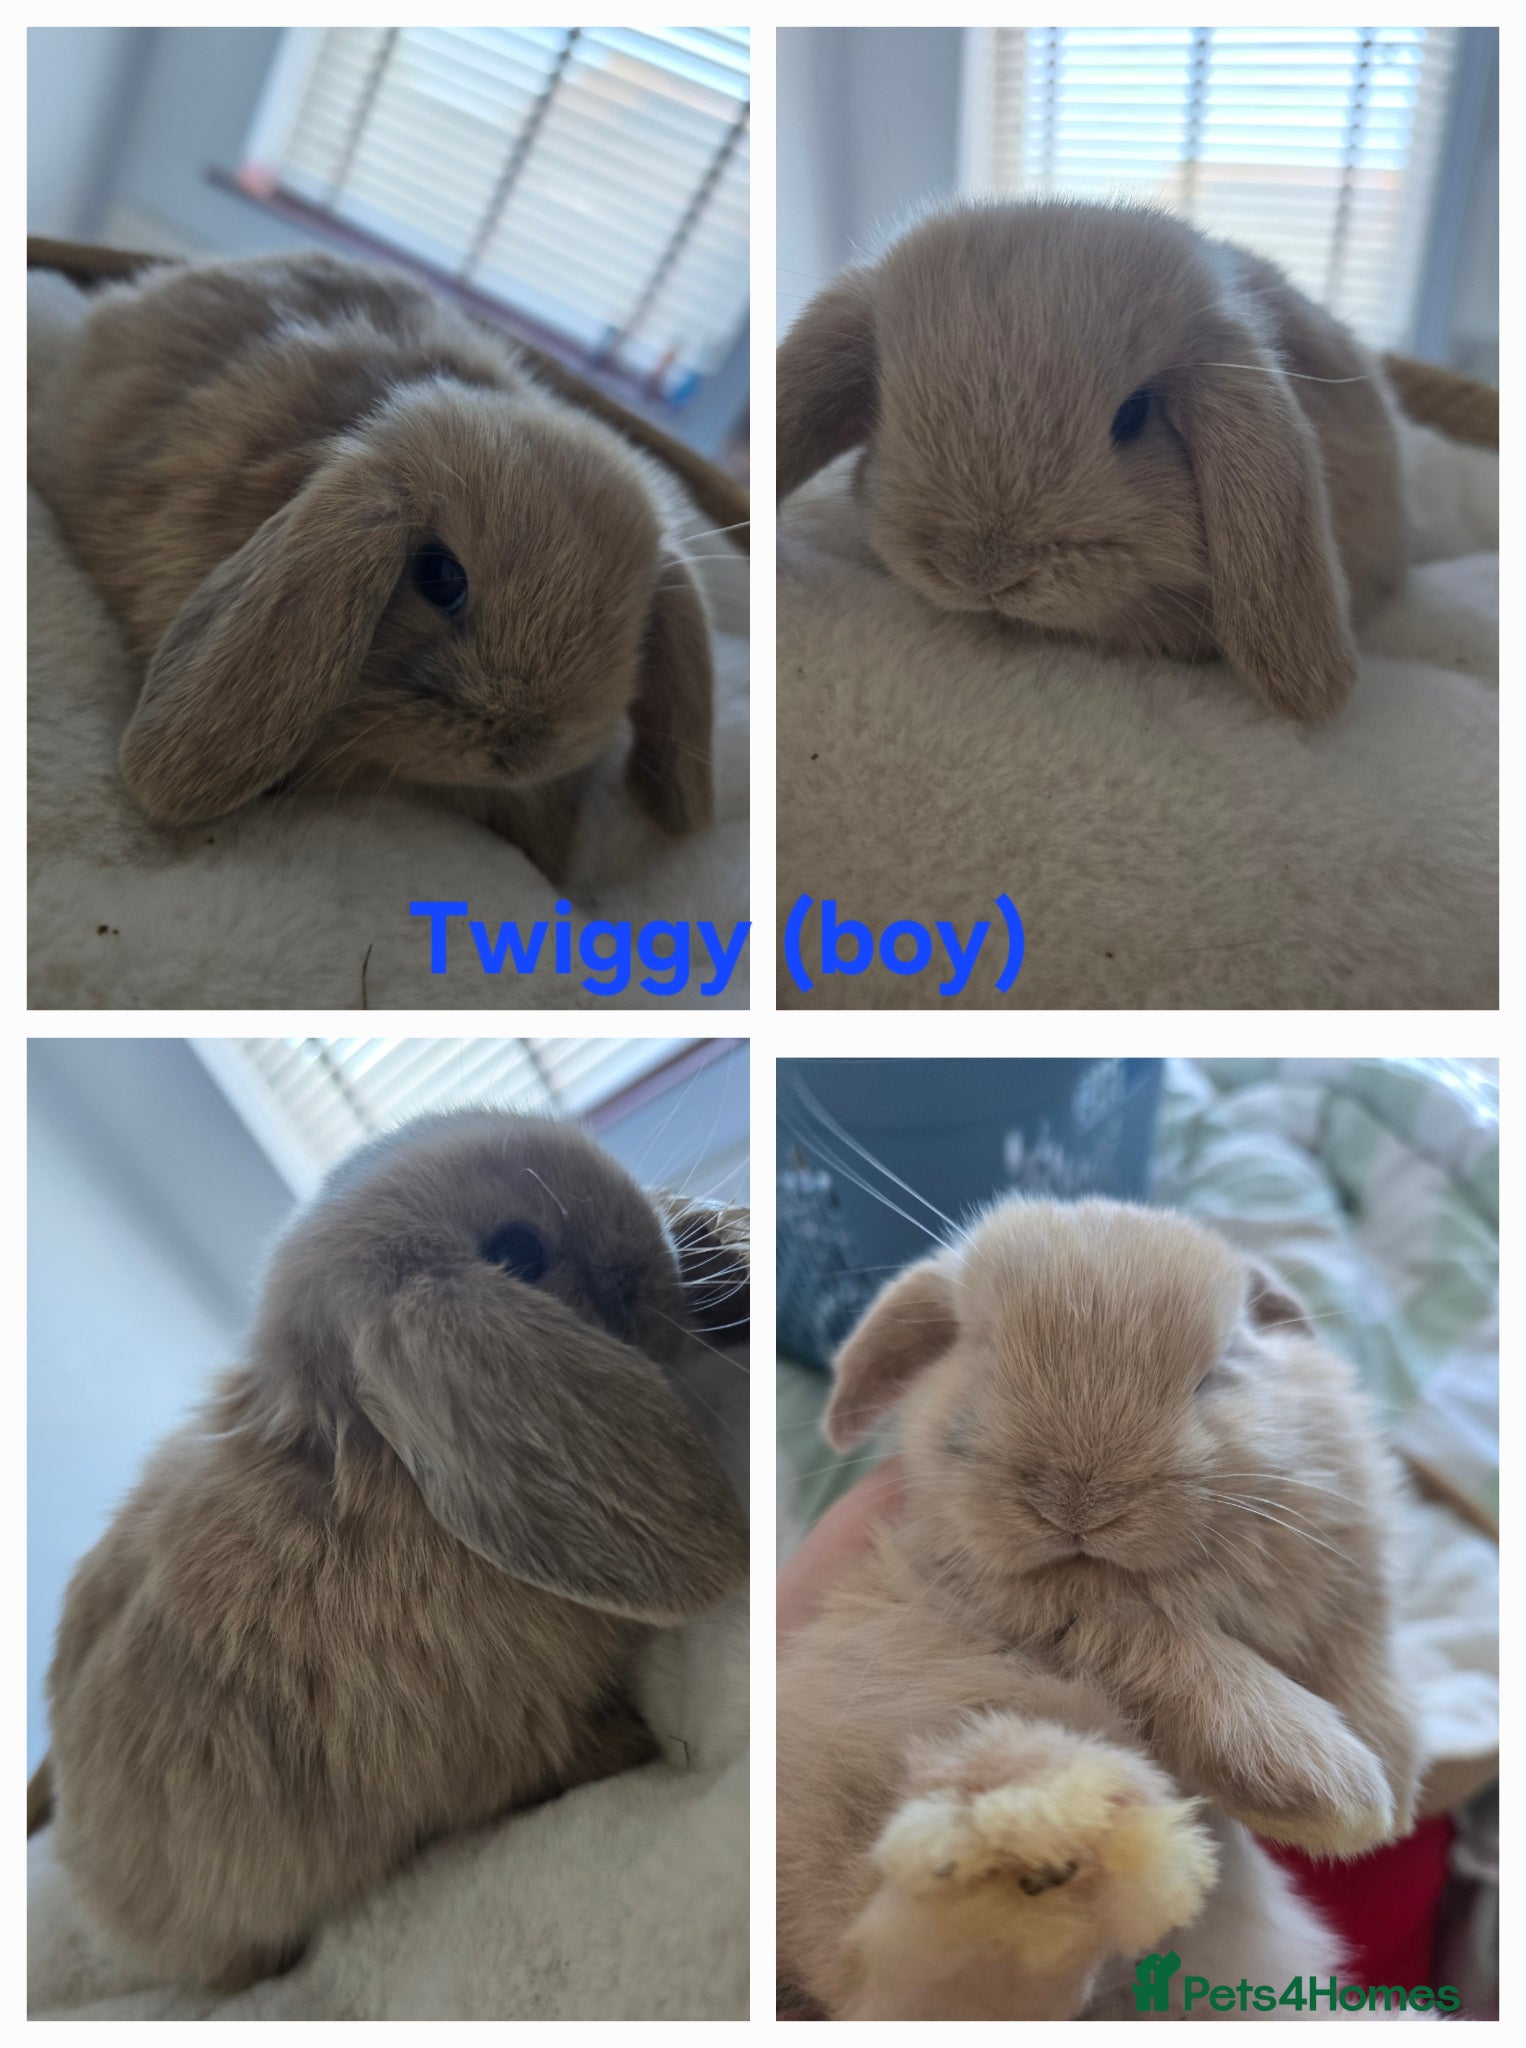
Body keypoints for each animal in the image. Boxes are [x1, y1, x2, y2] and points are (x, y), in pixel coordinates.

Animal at [777, 1197, 1421, 2019]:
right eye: (980, 1351)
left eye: (1215, 1373)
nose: (1077, 1500)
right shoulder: (1044, 1607)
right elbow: (1182, 1657)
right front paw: (1335, 1790)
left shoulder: (1348, 1554)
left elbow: (1360, 1651)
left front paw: (1392, 1786)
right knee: (912, 1973)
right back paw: (1032, 1827)